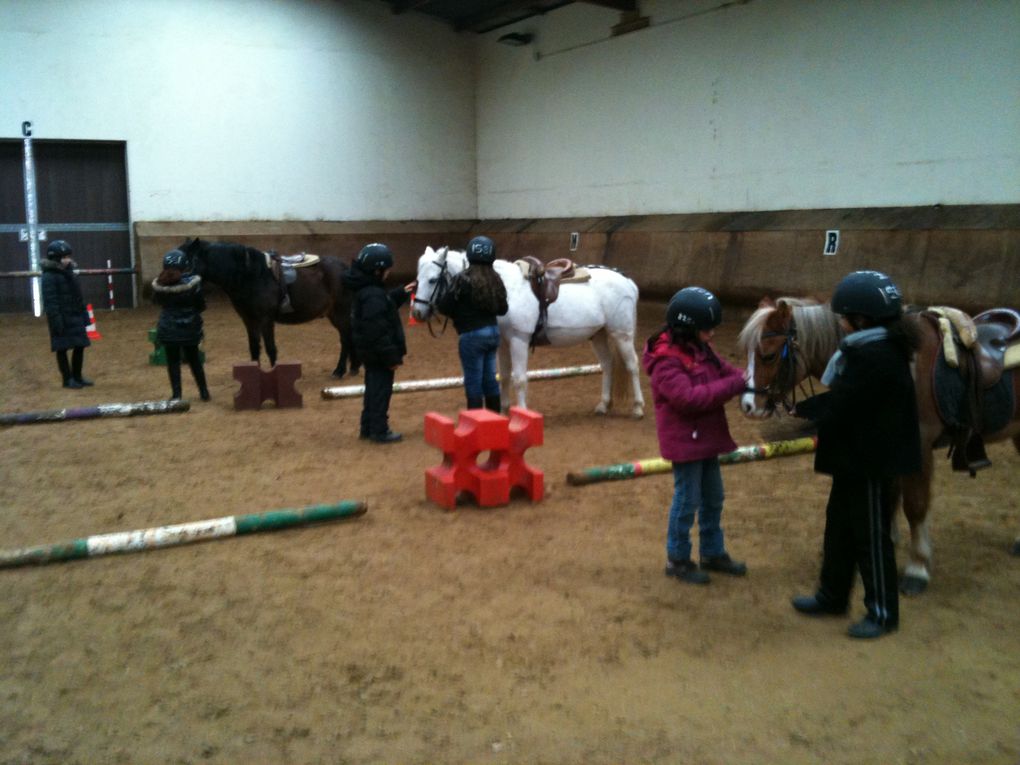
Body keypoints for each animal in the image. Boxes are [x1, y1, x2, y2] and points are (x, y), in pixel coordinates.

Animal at [178, 236, 359, 375]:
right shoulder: (249, 320)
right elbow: (254, 347)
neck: (251, 275)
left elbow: (271, 348)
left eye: (186, 261)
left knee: (345, 339)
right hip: (333, 314)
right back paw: (353, 368)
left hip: (341, 313)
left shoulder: (266, 319)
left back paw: (339, 371)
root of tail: (345, 268)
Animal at [408, 248, 640, 420]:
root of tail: (628, 281)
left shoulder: (519, 340)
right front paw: (503, 411)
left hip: (622, 334)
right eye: (417, 279)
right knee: (608, 365)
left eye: (432, 280)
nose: (417, 313)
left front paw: (522, 413)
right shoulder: (502, 343)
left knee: (632, 365)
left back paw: (638, 407)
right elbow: (503, 378)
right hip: (598, 335)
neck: (506, 288)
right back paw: (603, 405)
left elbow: (519, 379)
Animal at [742, 297, 1020, 591]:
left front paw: (917, 568)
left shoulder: (919, 447)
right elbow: (890, 496)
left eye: (768, 355)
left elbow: (915, 506)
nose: (748, 405)